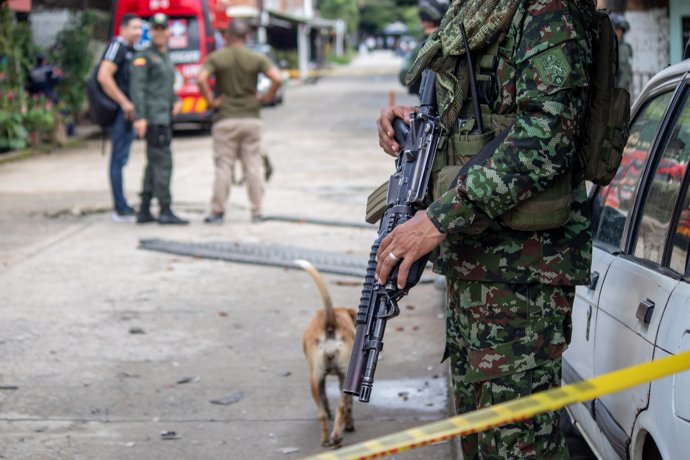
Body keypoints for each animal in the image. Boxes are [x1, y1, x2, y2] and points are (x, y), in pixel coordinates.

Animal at [292, 260, 354, 448]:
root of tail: (330, 323)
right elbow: (348, 405)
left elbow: (326, 399)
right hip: (338, 379)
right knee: (342, 407)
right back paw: (337, 436)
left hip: (315, 379)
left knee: (322, 412)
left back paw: (328, 438)